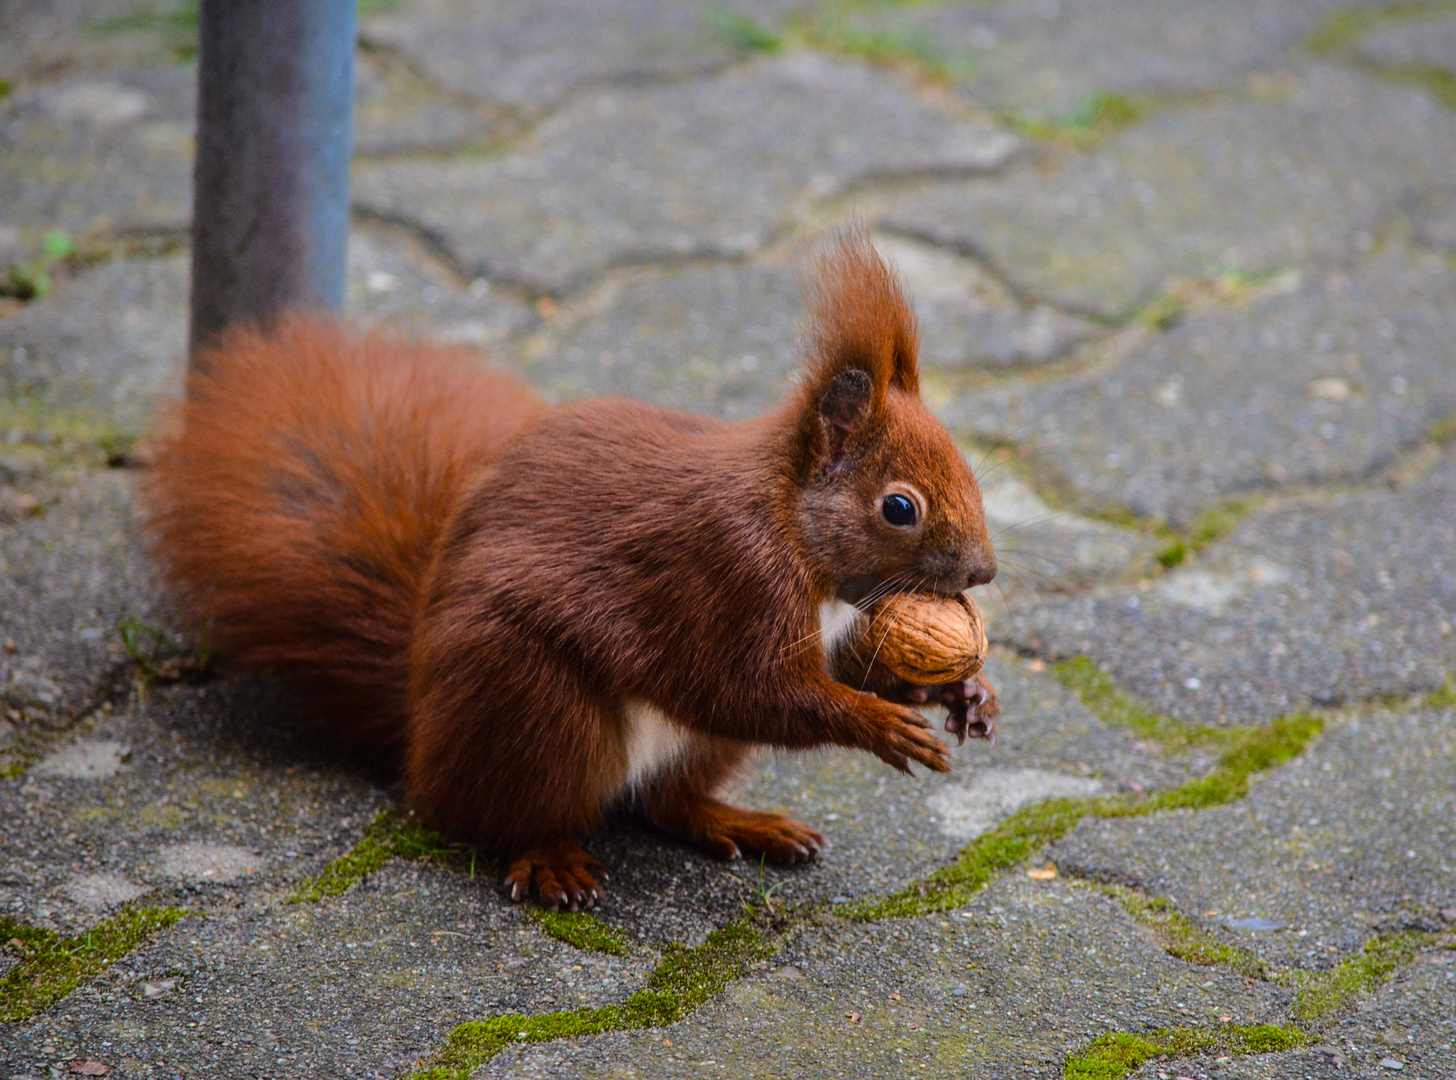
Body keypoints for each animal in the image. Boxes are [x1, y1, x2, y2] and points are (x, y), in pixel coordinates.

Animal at [139, 229, 1001, 914]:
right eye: (899, 507)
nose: (985, 571)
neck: (795, 533)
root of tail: (419, 739)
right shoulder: (722, 579)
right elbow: (747, 690)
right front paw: (878, 723)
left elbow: (844, 667)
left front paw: (960, 694)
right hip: (537, 706)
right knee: (500, 816)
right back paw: (550, 858)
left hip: (683, 745)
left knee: (664, 800)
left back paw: (736, 821)